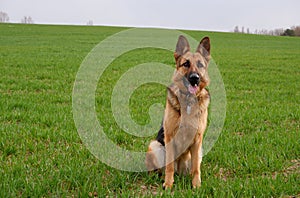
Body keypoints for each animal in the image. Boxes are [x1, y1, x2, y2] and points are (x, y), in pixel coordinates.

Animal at [145, 35, 211, 189]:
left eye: (200, 65)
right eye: (186, 64)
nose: (194, 78)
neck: (188, 101)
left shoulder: (197, 140)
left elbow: (196, 168)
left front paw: (196, 186)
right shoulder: (169, 137)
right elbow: (169, 167)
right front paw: (168, 185)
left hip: (198, 152)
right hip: (155, 145)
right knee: (161, 169)